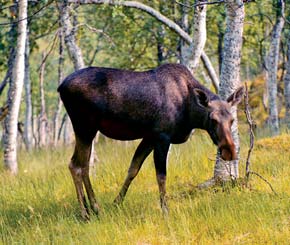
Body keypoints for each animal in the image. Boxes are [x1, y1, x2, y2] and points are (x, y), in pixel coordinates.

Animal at [57, 63, 244, 220]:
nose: (229, 151)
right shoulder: (162, 136)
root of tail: (61, 87)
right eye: (212, 119)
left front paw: (117, 202)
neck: (190, 115)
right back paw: (86, 212)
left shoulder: (149, 137)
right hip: (84, 126)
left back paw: (94, 208)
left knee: (83, 165)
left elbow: (133, 169)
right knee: (76, 165)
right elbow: (161, 176)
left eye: (232, 119)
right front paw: (165, 210)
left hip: (88, 130)